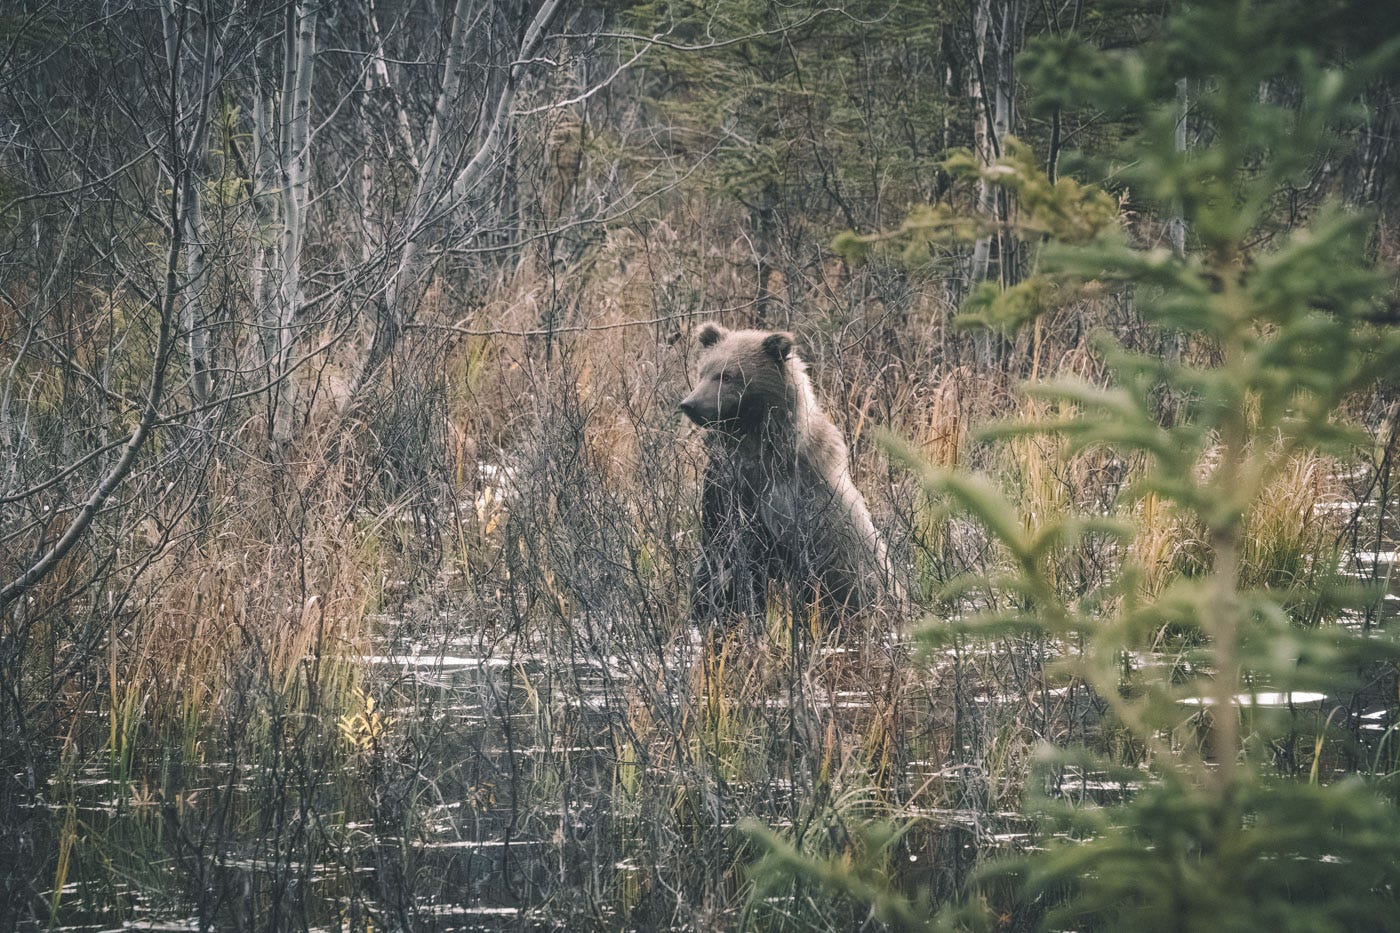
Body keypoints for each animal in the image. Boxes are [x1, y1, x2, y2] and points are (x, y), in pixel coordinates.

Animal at [678, 321, 901, 626]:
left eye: (728, 375)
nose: (690, 404)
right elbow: (717, 559)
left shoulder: (789, 498)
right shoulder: (723, 486)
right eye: (703, 371)